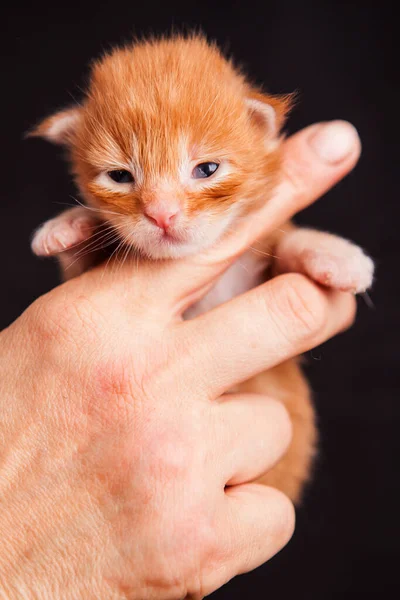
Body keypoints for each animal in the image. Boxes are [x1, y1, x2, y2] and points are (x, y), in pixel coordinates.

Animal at [28, 35, 376, 504]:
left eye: (206, 169)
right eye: (119, 176)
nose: (161, 214)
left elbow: (288, 243)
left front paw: (334, 253)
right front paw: (69, 227)